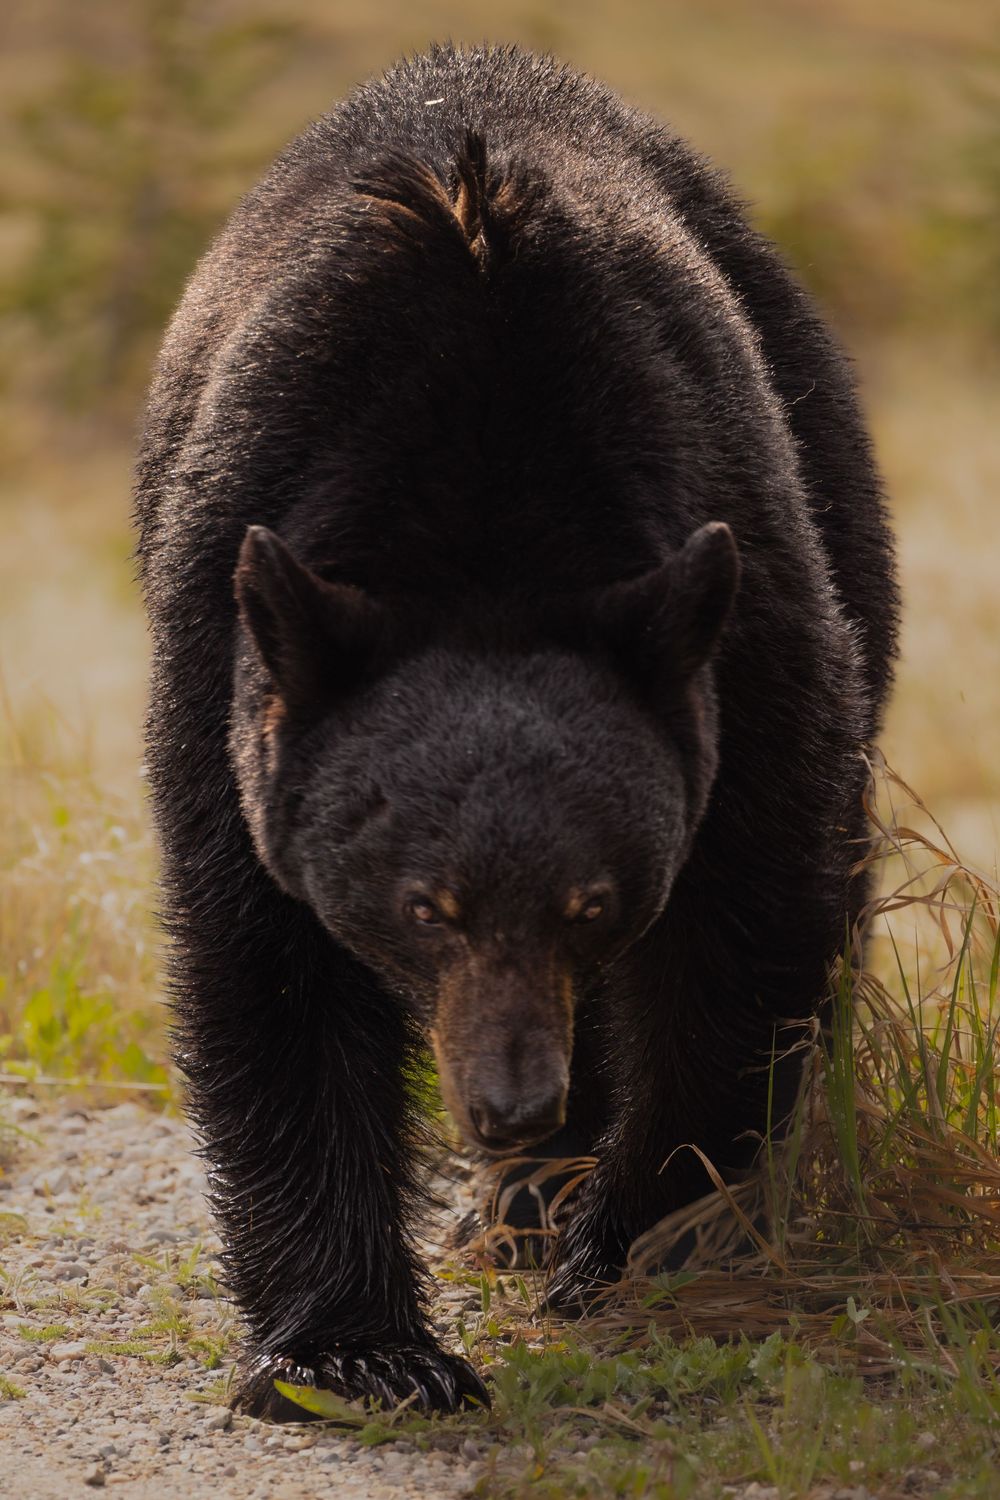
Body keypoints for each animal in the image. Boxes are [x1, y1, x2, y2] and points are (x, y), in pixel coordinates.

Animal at [134, 42, 898, 1419]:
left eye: (594, 901)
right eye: (422, 906)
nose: (507, 1105)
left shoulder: (738, 593)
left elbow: (751, 910)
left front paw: (631, 1241)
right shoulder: (230, 634)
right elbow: (266, 962)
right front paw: (360, 1351)